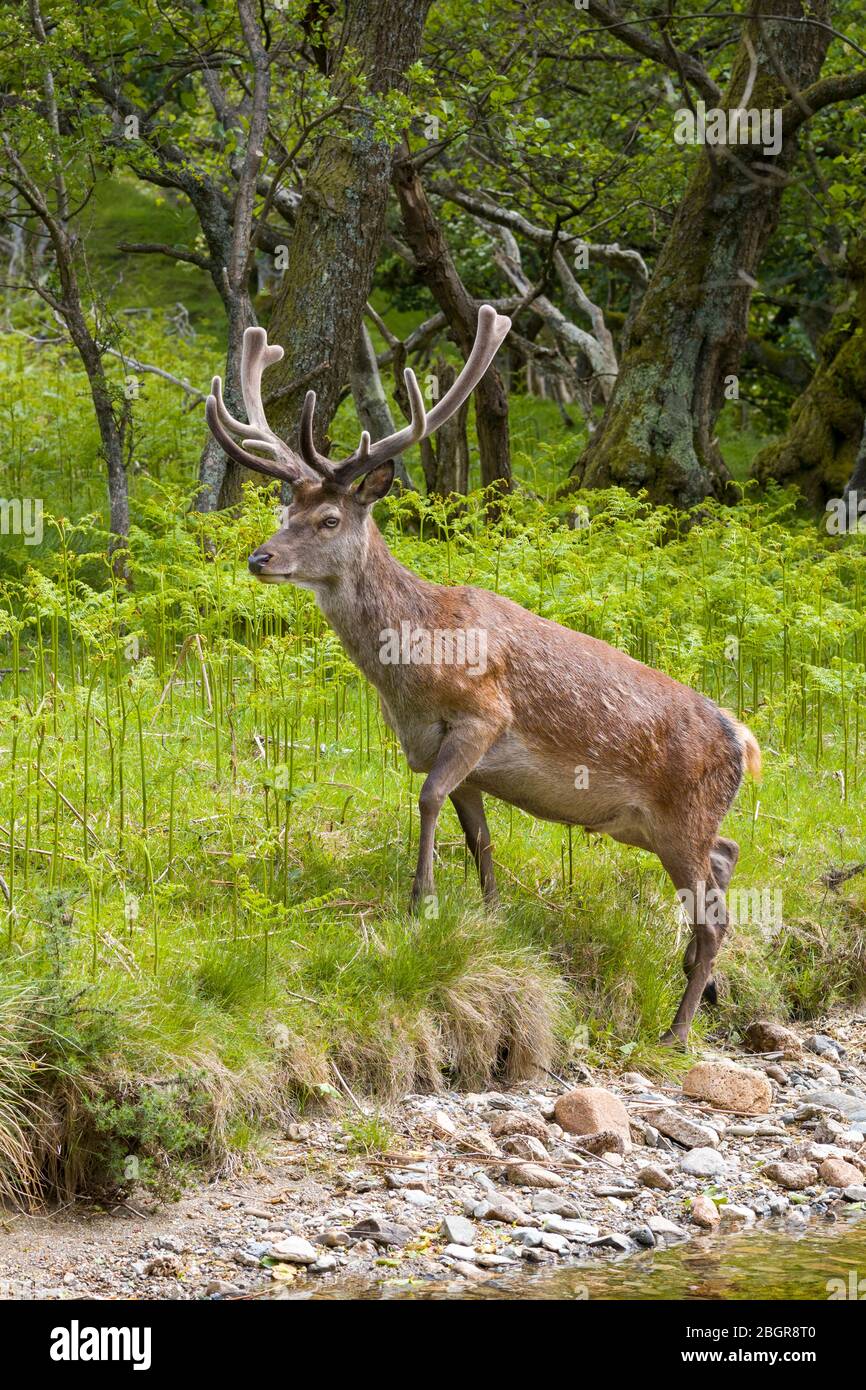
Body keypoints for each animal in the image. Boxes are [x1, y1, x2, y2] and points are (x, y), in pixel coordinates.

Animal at [202, 304, 756, 1045]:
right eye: (283, 511)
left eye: (327, 519)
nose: (260, 559)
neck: (410, 671)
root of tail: (744, 739)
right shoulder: (452, 754)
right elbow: (480, 834)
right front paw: (491, 919)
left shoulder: (482, 716)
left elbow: (428, 798)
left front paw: (422, 900)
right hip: (656, 826)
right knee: (727, 857)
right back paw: (702, 992)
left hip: (682, 819)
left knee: (715, 912)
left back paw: (675, 1033)